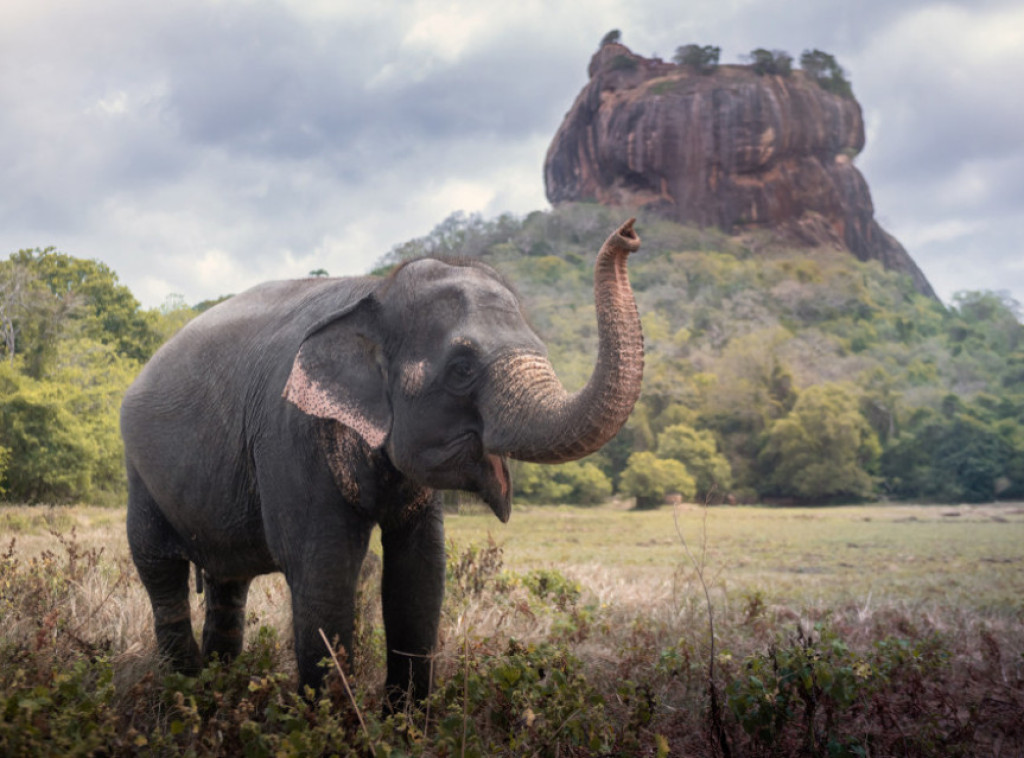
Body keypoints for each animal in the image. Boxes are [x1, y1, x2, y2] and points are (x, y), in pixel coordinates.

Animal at [123, 216, 643, 700]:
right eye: (462, 369)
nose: (630, 232)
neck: (373, 292)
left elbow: (420, 572)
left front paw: (404, 720)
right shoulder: (290, 435)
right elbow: (323, 573)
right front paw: (330, 720)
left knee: (228, 583)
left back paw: (217, 690)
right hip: (139, 472)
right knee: (160, 571)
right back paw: (183, 688)